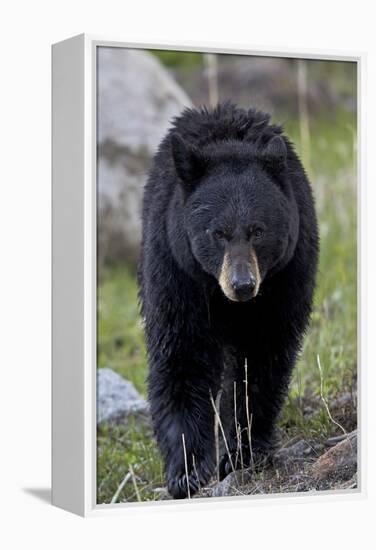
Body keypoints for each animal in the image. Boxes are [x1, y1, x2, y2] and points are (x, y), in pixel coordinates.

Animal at [138, 102, 318, 500]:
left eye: (258, 231)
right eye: (217, 233)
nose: (242, 284)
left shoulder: (284, 277)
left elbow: (261, 359)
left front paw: (242, 453)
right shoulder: (176, 270)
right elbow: (182, 353)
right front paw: (187, 471)